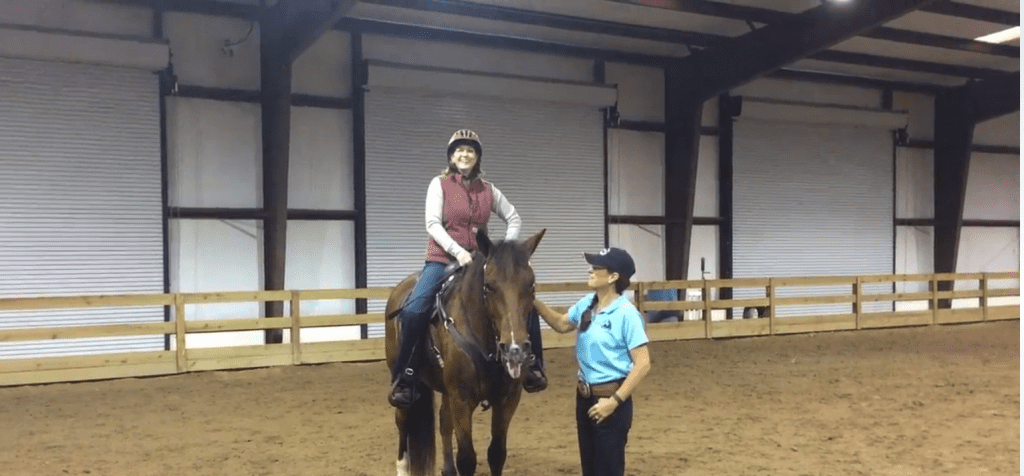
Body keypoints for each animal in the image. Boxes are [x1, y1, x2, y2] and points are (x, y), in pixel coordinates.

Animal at [384, 229, 545, 476]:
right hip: (401, 383)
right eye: (488, 286)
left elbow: (496, 454)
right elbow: (467, 459)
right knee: (403, 421)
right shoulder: (462, 400)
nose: (515, 349)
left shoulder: (508, 400)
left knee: (443, 421)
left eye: (531, 284)